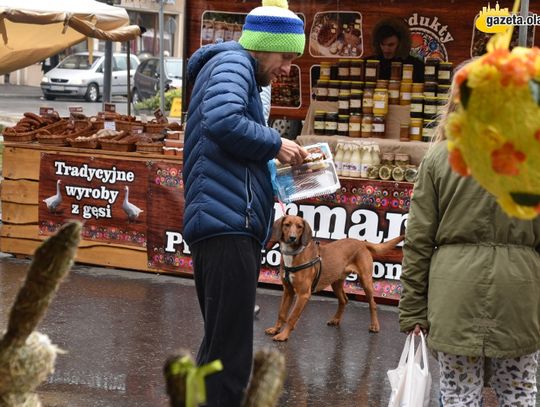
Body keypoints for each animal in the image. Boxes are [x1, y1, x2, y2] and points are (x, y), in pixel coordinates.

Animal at [264, 215, 402, 342]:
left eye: (300, 227)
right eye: (286, 225)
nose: (292, 238)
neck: (294, 254)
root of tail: (362, 242)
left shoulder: (303, 294)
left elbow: (292, 316)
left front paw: (283, 335)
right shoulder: (288, 291)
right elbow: (282, 313)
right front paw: (275, 329)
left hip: (366, 281)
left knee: (372, 303)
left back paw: (374, 325)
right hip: (336, 282)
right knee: (344, 300)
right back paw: (336, 319)